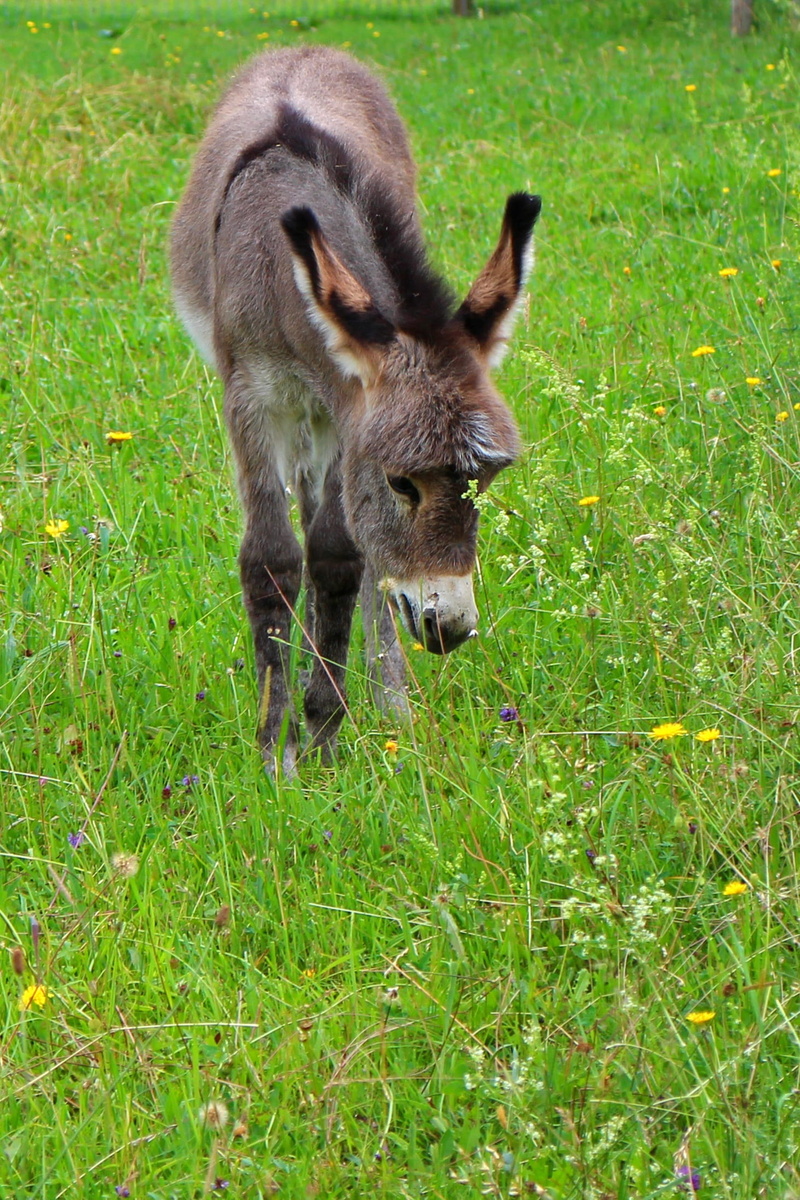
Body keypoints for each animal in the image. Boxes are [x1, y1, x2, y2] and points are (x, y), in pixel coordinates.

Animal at [170, 45, 541, 770]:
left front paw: (326, 727)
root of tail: (303, 49)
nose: (450, 629)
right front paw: (276, 751)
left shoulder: (345, 411)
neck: (277, 262)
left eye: (483, 482)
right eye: (402, 483)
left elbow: (342, 556)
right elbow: (271, 559)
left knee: (353, 548)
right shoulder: (252, 398)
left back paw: (384, 695)